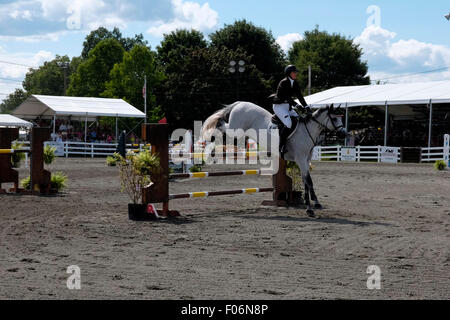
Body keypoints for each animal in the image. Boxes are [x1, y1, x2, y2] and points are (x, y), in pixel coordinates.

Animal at [202, 102, 346, 218]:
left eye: (341, 118)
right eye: (334, 118)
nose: (344, 133)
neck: (307, 132)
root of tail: (239, 103)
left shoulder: (305, 161)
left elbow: (307, 182)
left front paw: (314, 204)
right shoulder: (301, 160)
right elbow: (309, 181)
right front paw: (311, 208)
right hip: (236, 129)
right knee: (222, 125)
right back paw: (213, 143)